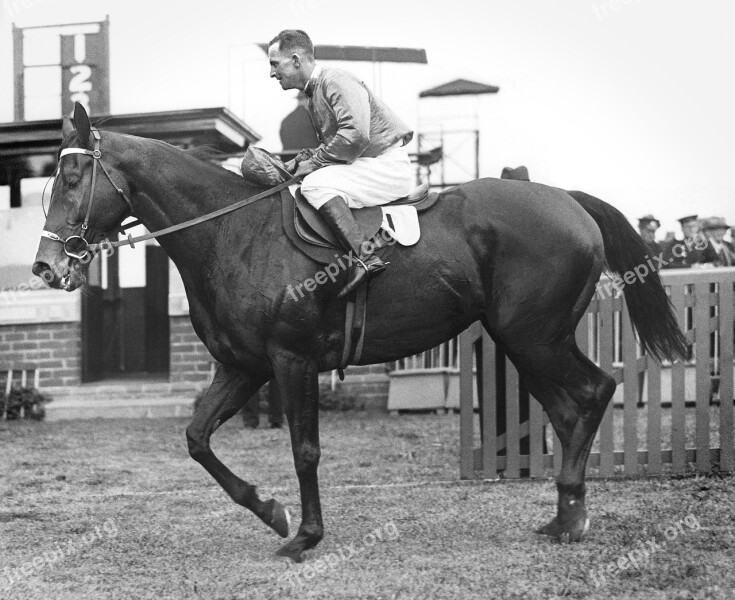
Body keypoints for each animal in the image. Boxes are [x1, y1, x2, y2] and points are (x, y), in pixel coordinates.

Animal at [33, 104, 688, 564]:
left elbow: (304, 450)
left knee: (594, 392)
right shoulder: (243, 368)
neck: (233, 233)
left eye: (73, 176)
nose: (45, 266)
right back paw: (564, 514)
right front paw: (270, 511)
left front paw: (305, 535)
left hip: (536, 338)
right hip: (525, 343)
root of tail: (566, 200)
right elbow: (197, 439)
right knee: (569, 405)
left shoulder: (290, 361)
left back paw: (572, 512)